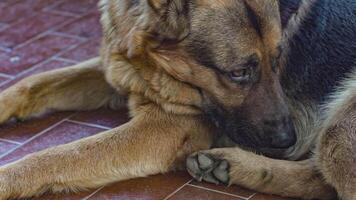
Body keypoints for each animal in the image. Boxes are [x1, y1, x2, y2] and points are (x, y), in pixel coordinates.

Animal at [0, 0, 356, 199]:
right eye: (239, 73)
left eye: (277, 59)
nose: (287, 139)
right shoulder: (117, 71)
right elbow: (31, 83)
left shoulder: (165, 127)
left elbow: (56, 155)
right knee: (318, 180)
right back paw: (228, 165)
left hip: (337, 130)